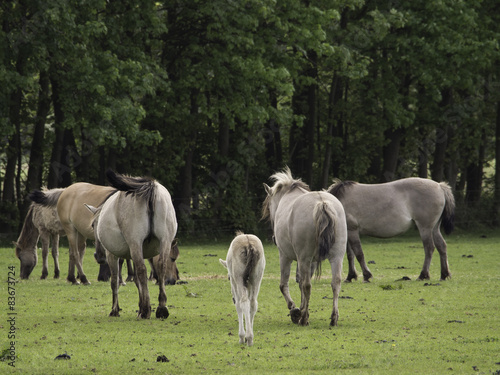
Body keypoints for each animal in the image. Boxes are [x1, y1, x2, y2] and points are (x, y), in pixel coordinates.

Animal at [262, 167, 348, 326]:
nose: (273, 238)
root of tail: (322, 203)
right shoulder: (311, 262)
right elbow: (300, 283)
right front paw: (300, 309)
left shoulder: (285, 256)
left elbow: (285, 285)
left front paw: (295, 310)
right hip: (336, 257)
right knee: (335, 283)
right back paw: (333, 318)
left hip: (303, 258)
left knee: (307, 285)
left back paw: (304, 319)